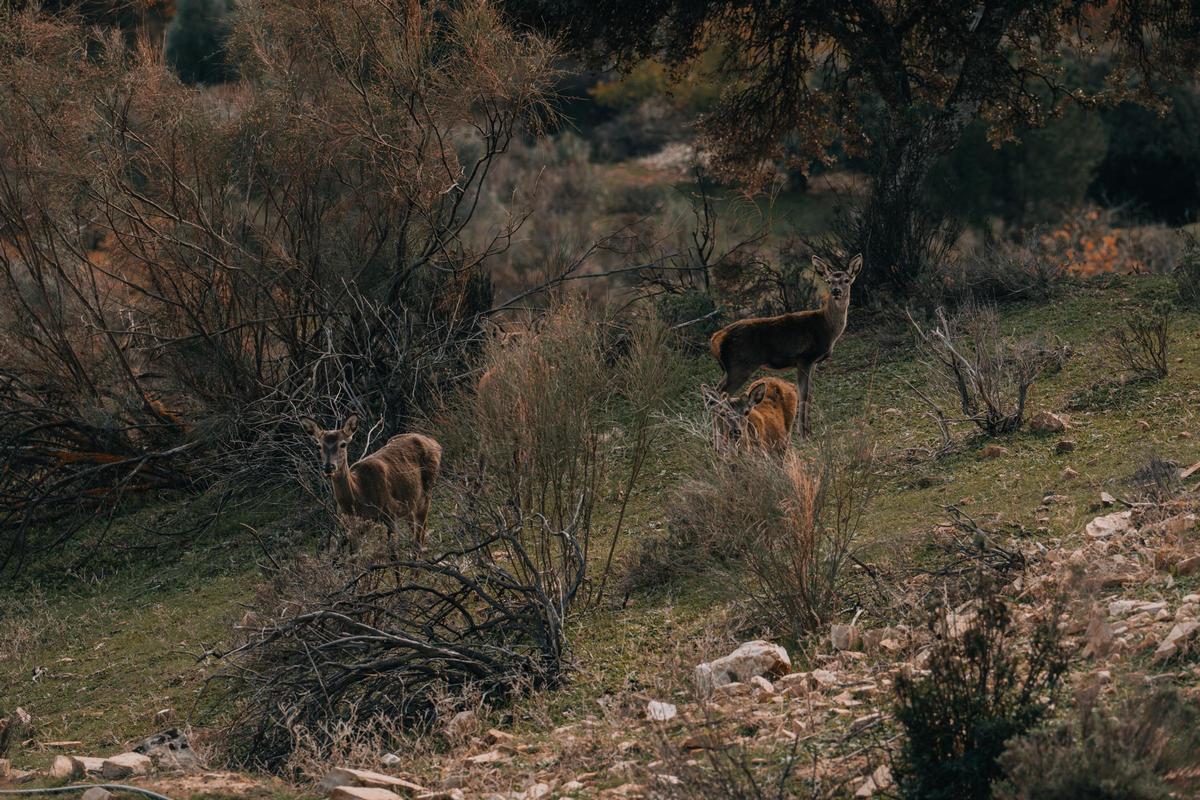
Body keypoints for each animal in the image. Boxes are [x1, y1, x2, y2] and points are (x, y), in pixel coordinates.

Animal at [300, 412, 446, 551]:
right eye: (318, 446)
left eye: (343, 444)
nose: (329, 467)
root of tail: (435, 442)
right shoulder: (351, 528)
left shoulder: (390, 512)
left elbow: (393, 553)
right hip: (410, 502)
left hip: (427, 491)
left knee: (420, 535)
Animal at [700, 253, 864, 438]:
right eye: (829, 281)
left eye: (846, 280)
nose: (836, 291)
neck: (827, 326)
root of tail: (715, 338)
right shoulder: (804, 358)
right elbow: (803, 395)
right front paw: (803, 433)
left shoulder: (813, 362)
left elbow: (810, 394)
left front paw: (809, 430)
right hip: (739, 366)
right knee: (718, 396)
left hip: (730, 369)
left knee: (715, 394)